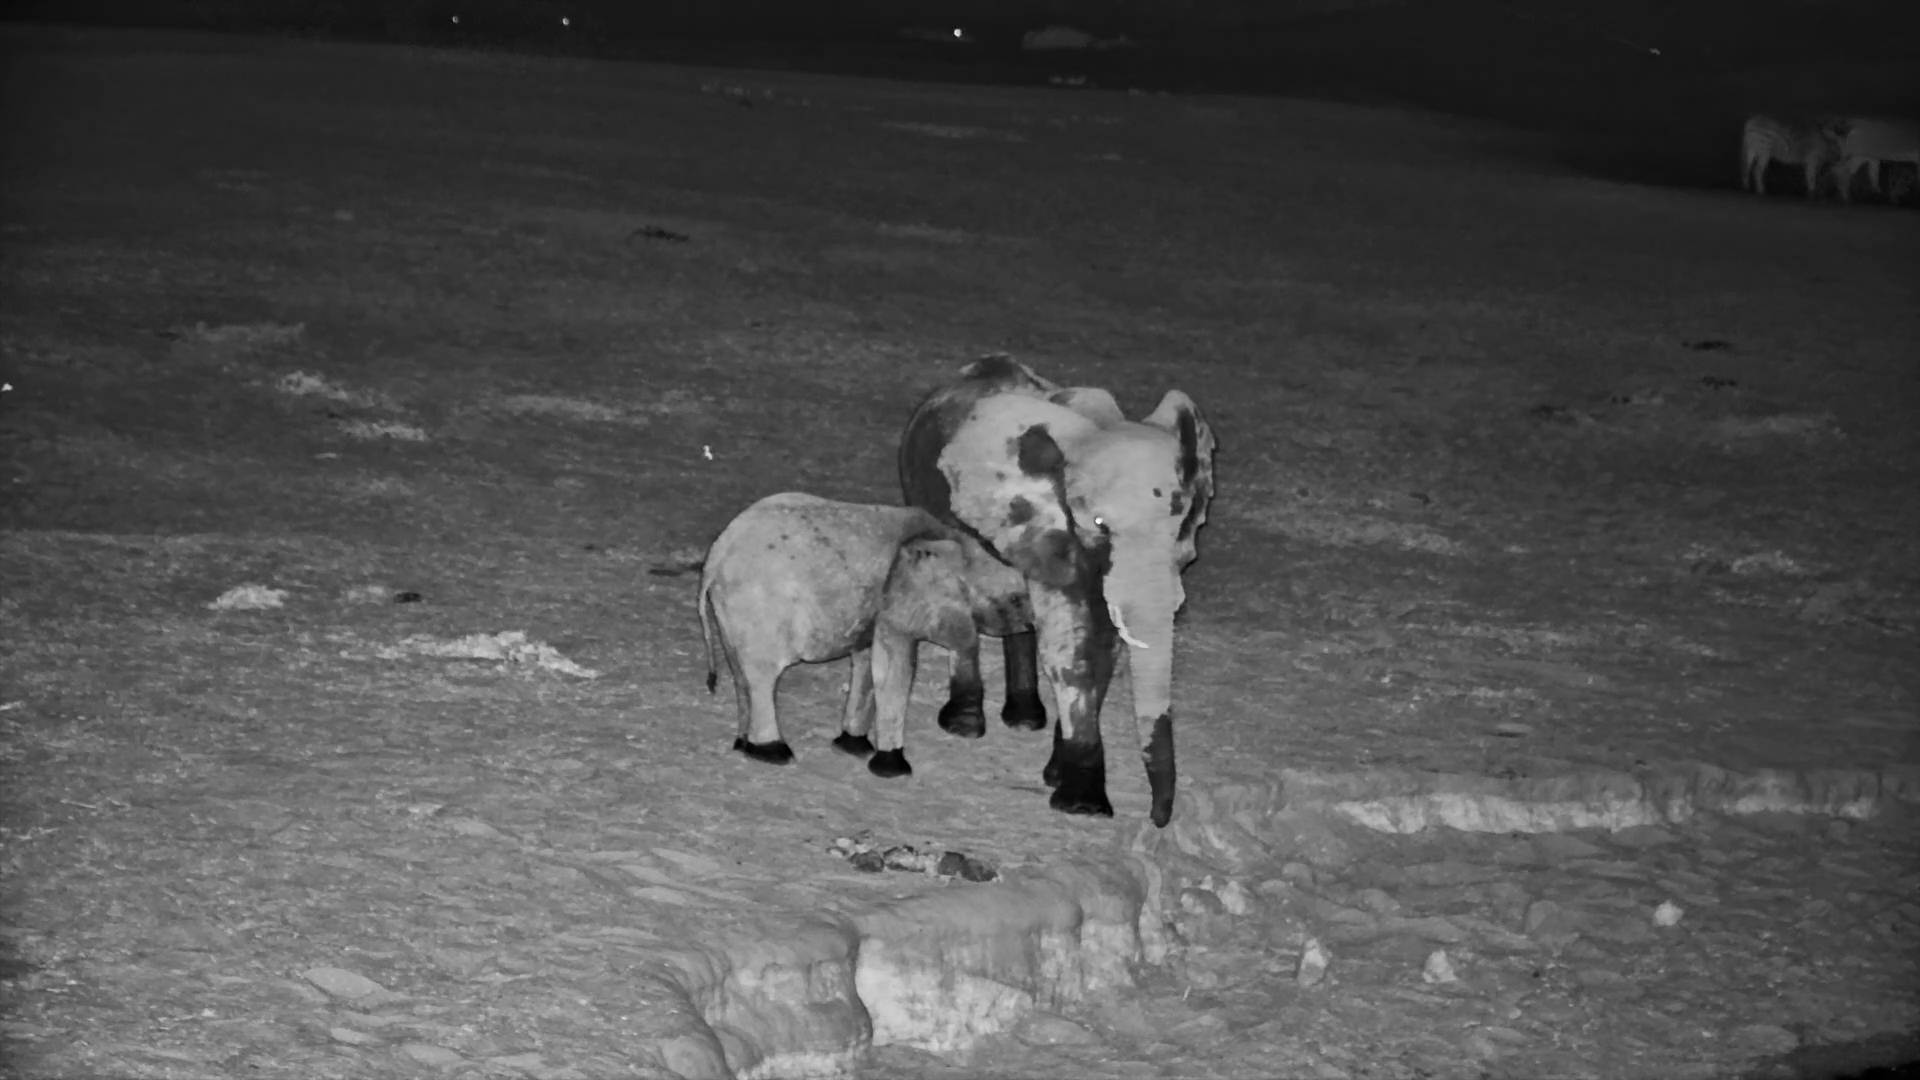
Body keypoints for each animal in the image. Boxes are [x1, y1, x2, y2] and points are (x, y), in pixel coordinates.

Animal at [697, 492, 1030, 777]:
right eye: (1015, 599)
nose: (1027, 625)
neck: (948, 536)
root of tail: (714, 560)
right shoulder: (900, 598)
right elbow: (895, 665)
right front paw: (894, 769)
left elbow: (869, 663)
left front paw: (854, 748)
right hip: (761, 610)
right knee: (762, 675)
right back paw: (774, 754)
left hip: (732, 608)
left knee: (740, 671)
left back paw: (743, 745)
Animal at [899, 356, 1217, 828]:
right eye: (1100, 524)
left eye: (1180, 524)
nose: (1157, 820)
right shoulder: (1048, 525)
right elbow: (1071, 652)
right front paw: (1083, 806)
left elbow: (1102, 650)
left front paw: (1056, 775)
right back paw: (964, 725)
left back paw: (1024, 720)